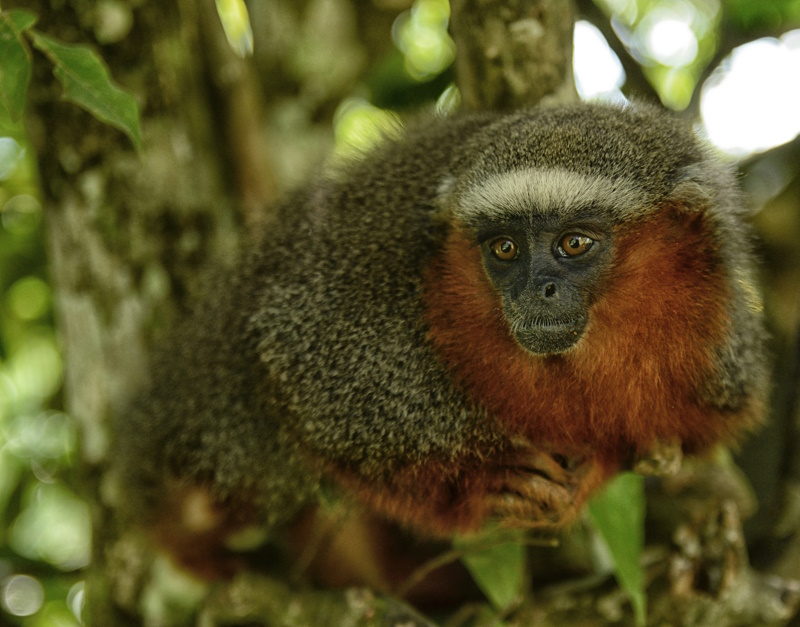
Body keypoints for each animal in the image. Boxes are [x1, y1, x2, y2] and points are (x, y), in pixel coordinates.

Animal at [114, 100, 768, 600]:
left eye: (574, 243)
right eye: (504, 249)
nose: (535, 288)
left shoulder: (718, 362)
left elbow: (679, 439)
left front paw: (593, 473)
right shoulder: (339, 340)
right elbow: (317, 401)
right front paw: (483, 484)